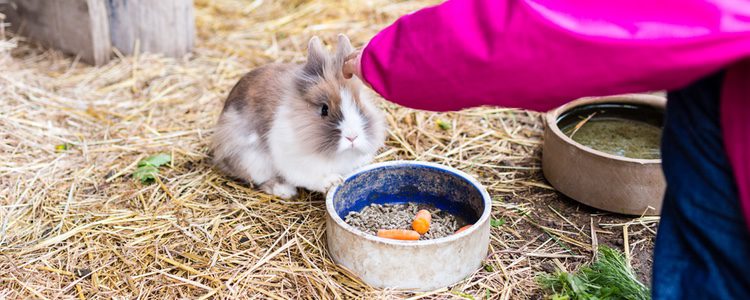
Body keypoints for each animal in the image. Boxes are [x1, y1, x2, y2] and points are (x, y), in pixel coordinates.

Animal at [212, 34, 388, 199]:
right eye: (324, 109)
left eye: (359, 105)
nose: (352, 137)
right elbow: (314, 179)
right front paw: (333, 181)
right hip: (252, 160)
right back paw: (285, 191)